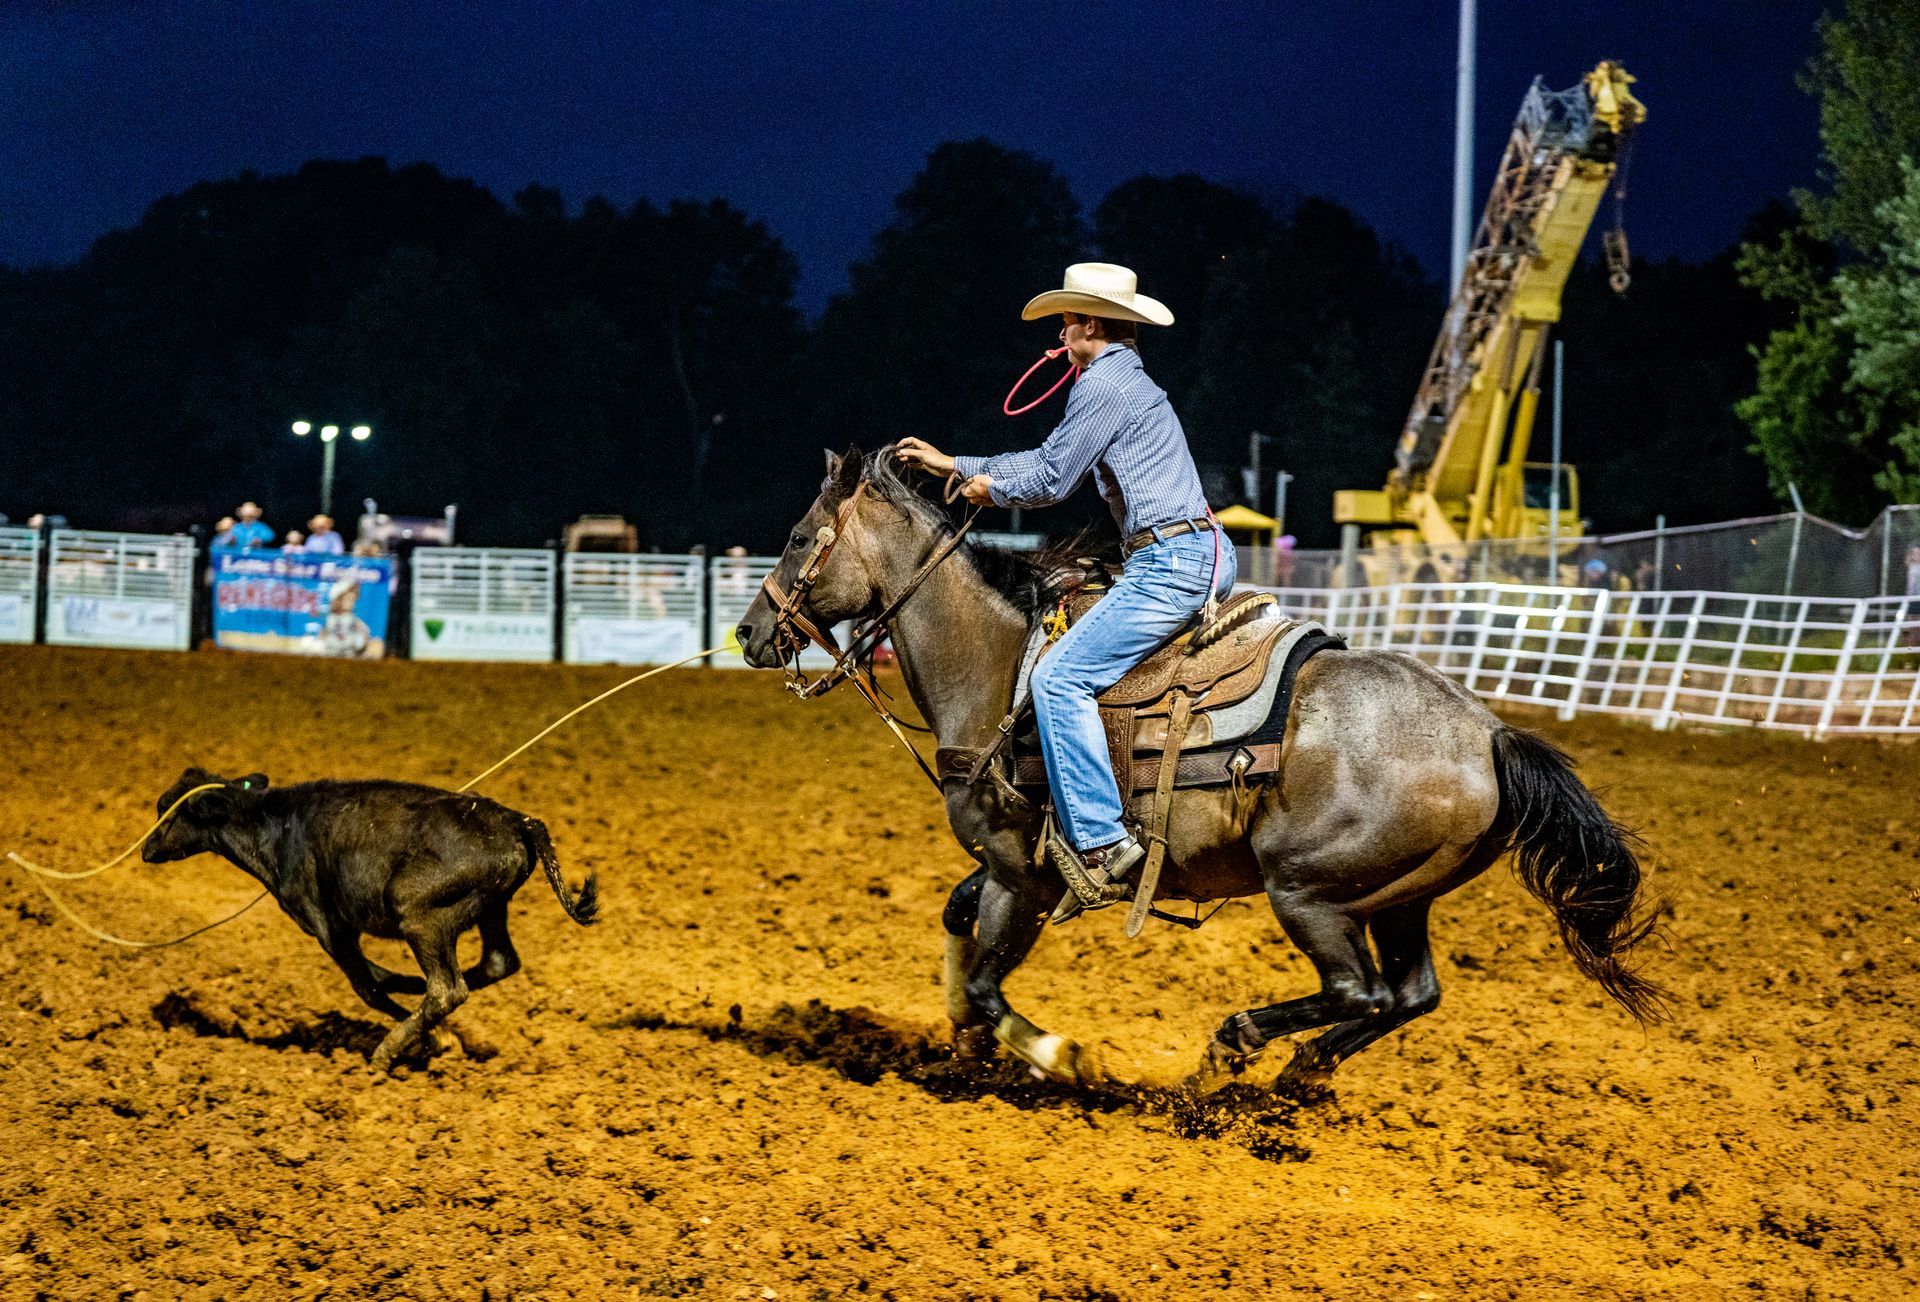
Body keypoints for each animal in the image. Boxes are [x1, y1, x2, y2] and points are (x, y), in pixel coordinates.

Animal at [142, 771, 595, 1067]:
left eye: (165, 809)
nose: (145, 848)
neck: (274, 825)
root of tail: (517, 820)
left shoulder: (328, 926)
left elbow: (368, 986)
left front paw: (437, 1040)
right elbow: (377, 980)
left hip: (419, 913)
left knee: (446, 988)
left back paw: (388, 1051)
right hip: (491, 907)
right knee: (498, 962)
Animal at [733, 449, 1666, 1090]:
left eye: (797, 537)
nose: (748, 633)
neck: (1003, 670)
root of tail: (1487, 736)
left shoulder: (1017, 876)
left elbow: (993, 983)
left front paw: (1056, 1055)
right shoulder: (1007, 871)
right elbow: (960, 936)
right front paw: (963, 1046)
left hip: (1309, 892)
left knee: (1361, 992)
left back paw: (1234, 1052)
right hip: (1401, 897)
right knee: (1412, 996)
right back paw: (1293, 1080)